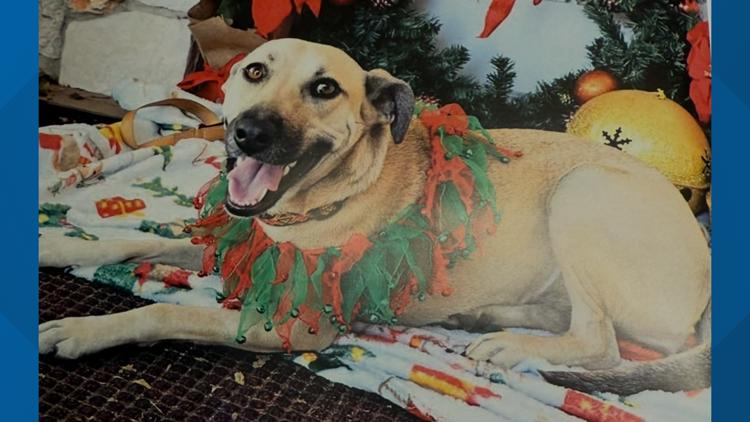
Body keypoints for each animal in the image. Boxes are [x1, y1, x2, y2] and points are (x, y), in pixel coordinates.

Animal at [39, 39, 711, 395]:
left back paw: (507, 344)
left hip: (583, 190)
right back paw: (487, 317)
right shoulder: (241, 241)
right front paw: (55, 245)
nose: (248, 132)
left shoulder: (299, 326)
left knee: (605, 343)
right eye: (255, 71)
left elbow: (166, 310)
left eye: (325, 89)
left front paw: (83, 330)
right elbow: (125, 240)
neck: (315, 204)